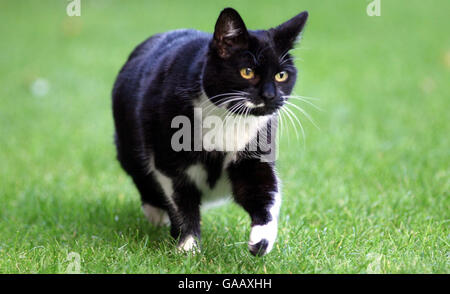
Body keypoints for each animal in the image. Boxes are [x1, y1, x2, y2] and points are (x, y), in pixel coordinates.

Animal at [112, 6, 310, 255]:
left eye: (281, 75)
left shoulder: (254, 151)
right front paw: (188, 247)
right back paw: (156, 213)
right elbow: (181, 201)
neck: (227, 120)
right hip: (127, 144)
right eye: (247, 71)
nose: (270, 95)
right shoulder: (168, 162)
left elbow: (265, 191)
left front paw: (261, 240)